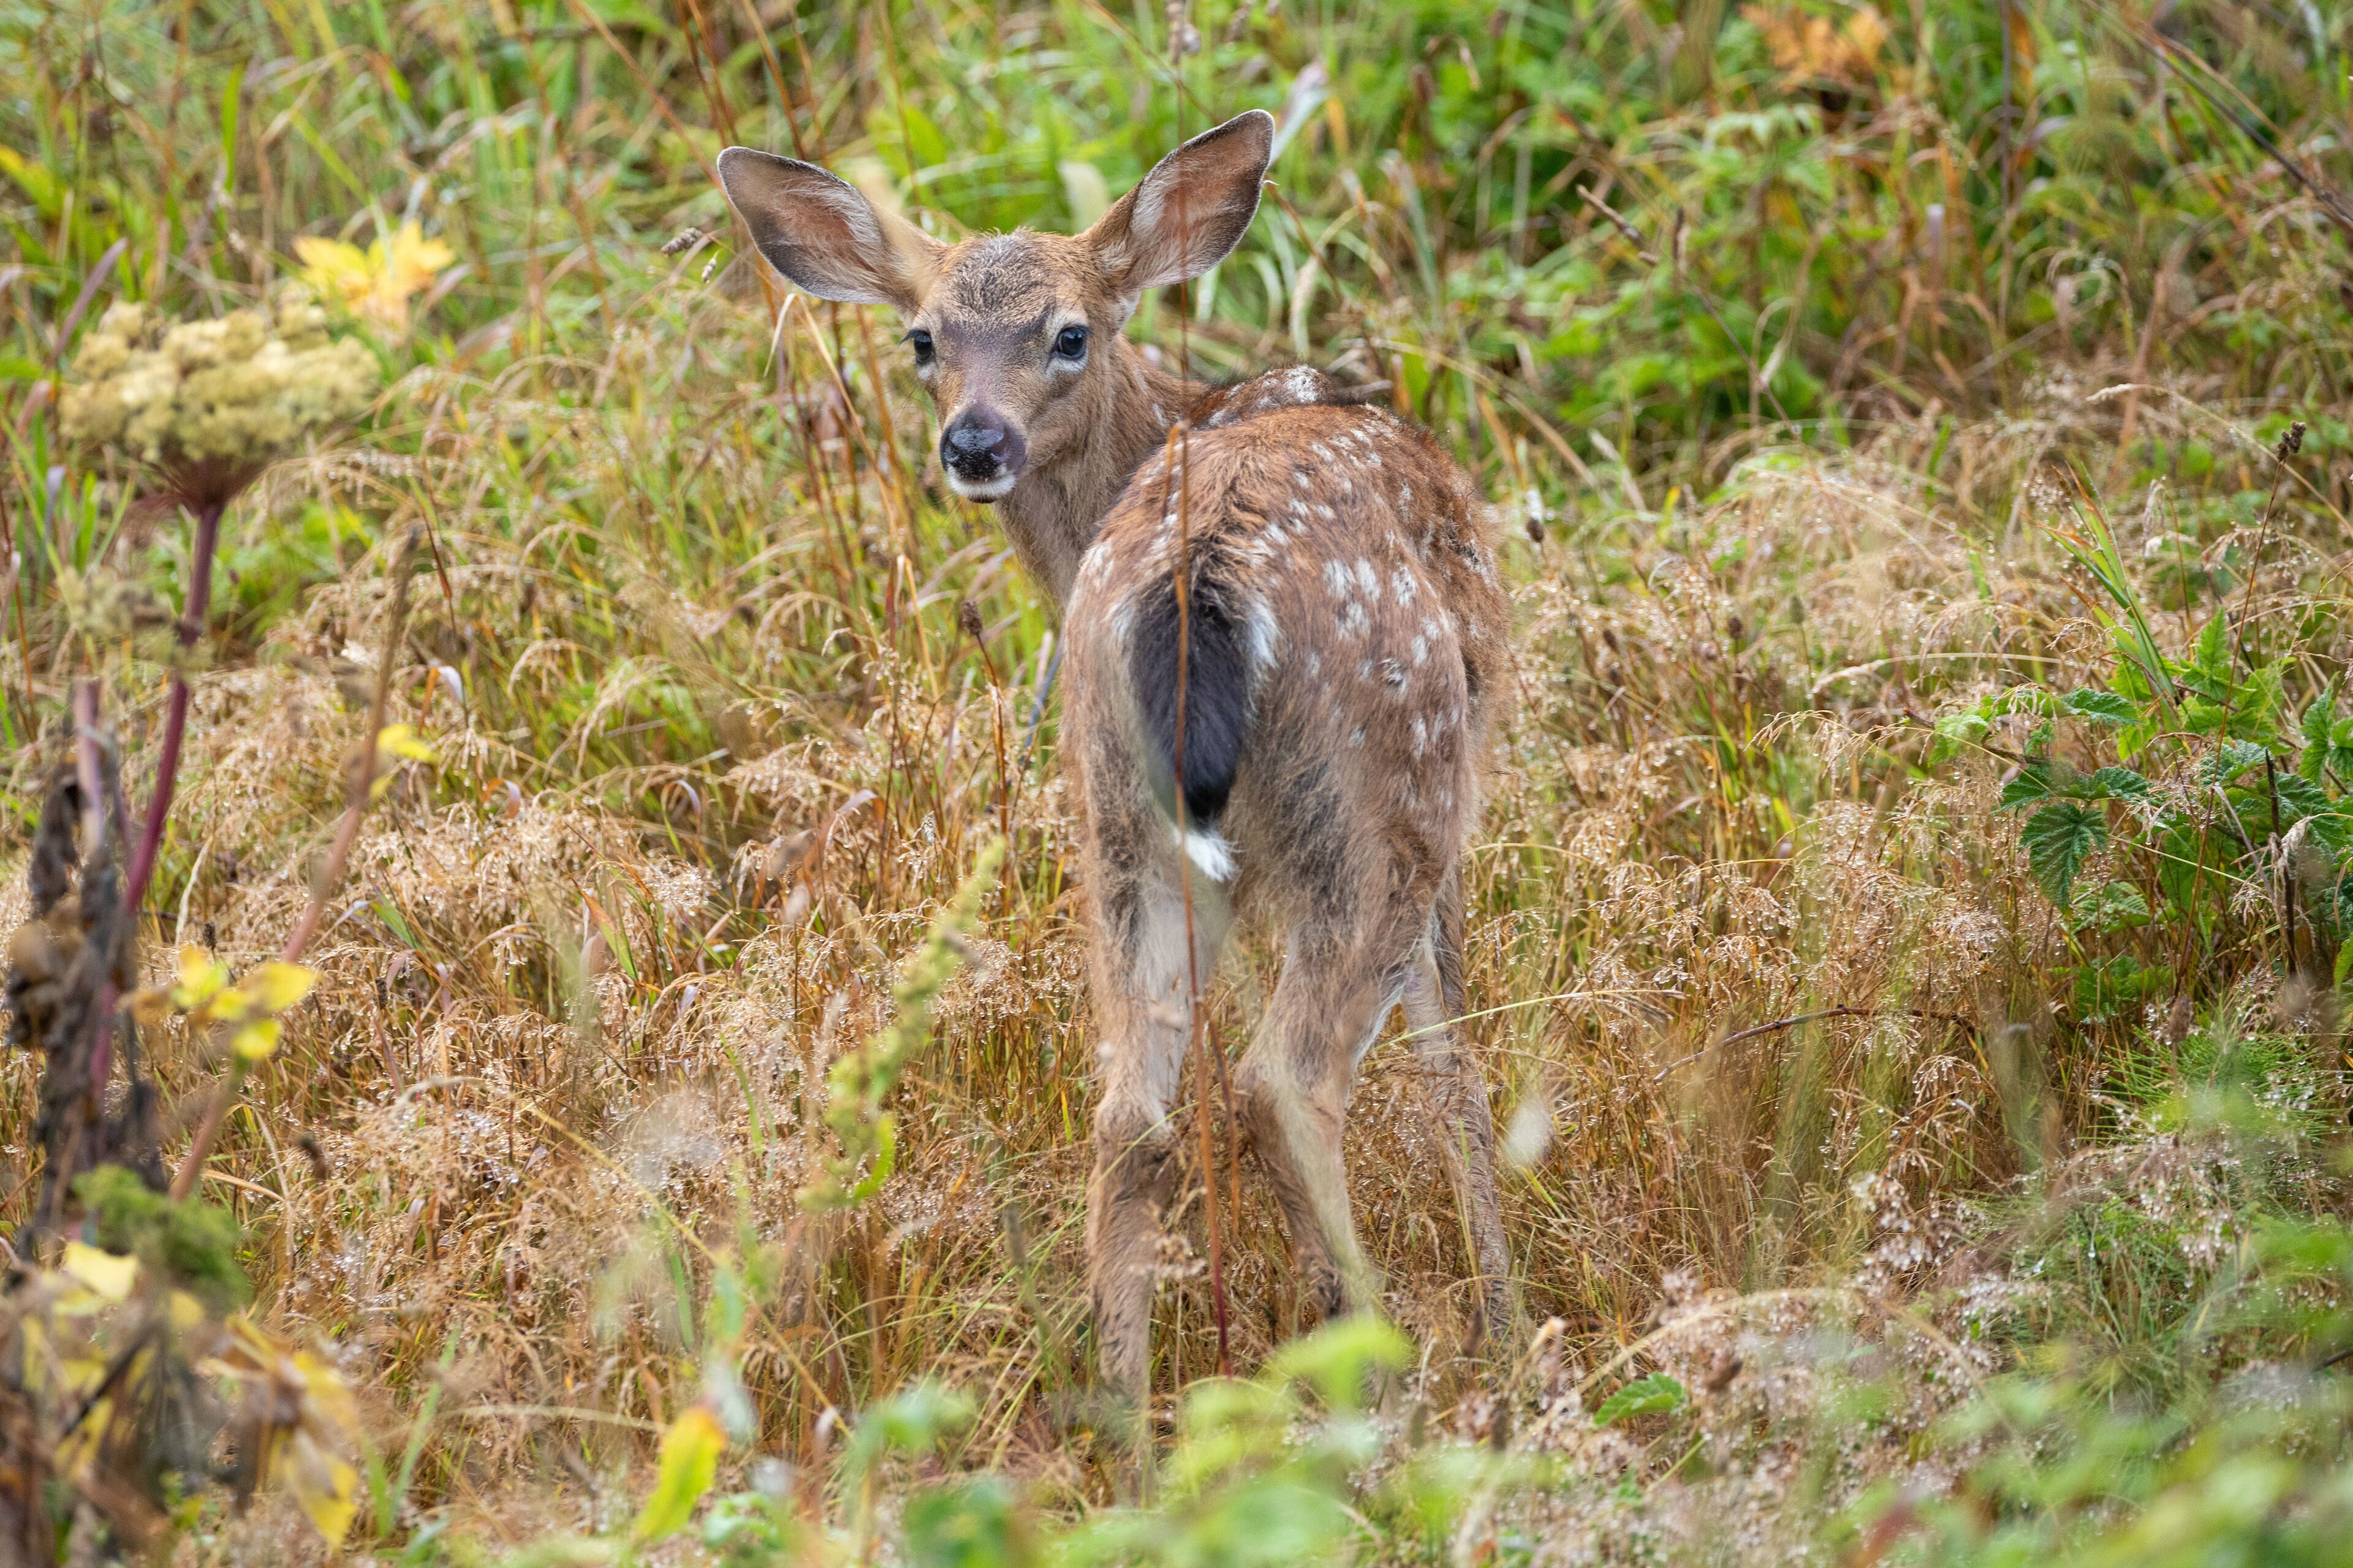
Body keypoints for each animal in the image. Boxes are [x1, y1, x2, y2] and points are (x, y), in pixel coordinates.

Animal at [716, 109, 1515, 1409]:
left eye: (1069, 333)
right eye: (925, 337)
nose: (974, 442)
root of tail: (1203, 574)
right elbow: (1456, 1068)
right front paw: (1507, 1317)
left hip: (1117, 808)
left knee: (1128, 1108)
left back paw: (1131, 1412)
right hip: (1393, 782)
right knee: (1285, 1082)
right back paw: (1385, 1363)